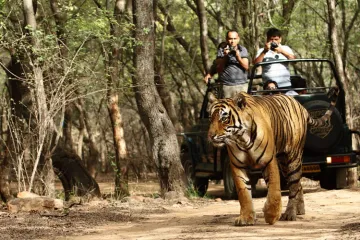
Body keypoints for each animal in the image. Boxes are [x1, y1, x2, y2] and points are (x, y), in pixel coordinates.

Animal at [207, 87, 338, 226]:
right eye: (210, 118)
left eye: (224, 118)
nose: (210, 136)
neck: (241, 139)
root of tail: (300, 106)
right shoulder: (238, 166)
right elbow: (244, 193)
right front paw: (246, 218)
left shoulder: (268, 161)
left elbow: (274, 189)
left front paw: (272, 215)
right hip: (284, 164)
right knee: (298, 184)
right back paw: (300, 209)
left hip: (293, 158)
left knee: (294, 186)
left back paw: (290, 214)